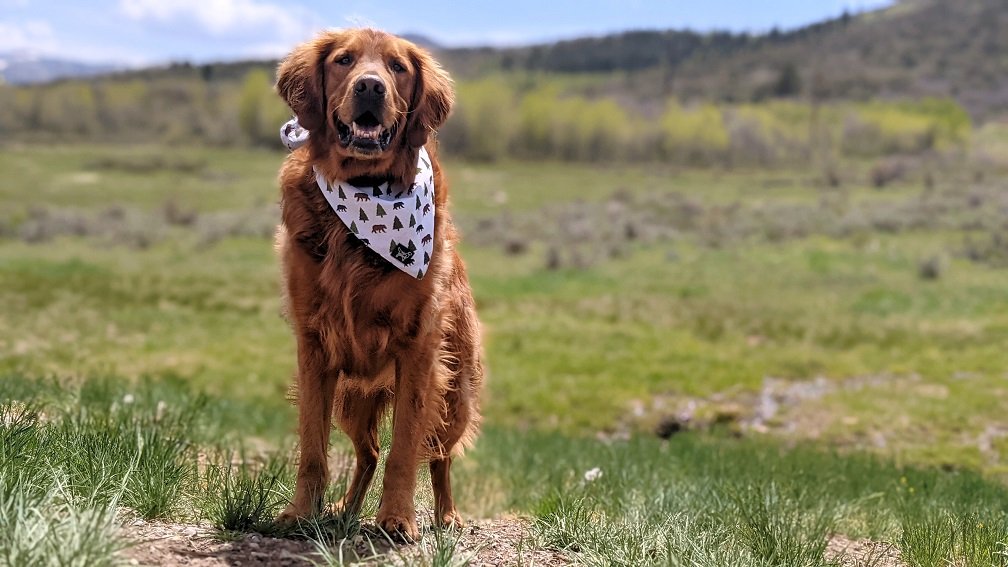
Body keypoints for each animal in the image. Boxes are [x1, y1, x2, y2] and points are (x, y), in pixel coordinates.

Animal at [274, 27, 481, 536]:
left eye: (398, 67)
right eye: (344, 60)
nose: (371, 86)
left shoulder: (418, 349)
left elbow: (405, 447)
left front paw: (397, 518)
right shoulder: (314, 346)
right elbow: (312, 448)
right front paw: (300, 512)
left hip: (454, 395)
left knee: (440, 456)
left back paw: (447, 515)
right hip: (353, 400)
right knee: (366, 451)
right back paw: (344, 509)